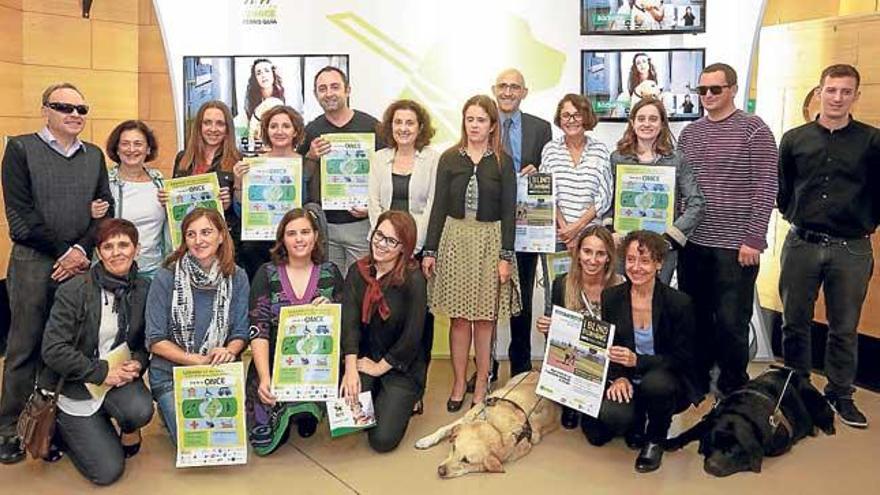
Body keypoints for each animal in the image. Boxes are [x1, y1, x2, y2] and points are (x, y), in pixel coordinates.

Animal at [414, 374, 564, 478]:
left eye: (466, 461)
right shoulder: (467, 417)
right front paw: (425, 440)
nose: (440, 471)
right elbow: (443, 429)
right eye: (454, 447)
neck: (493, 426)